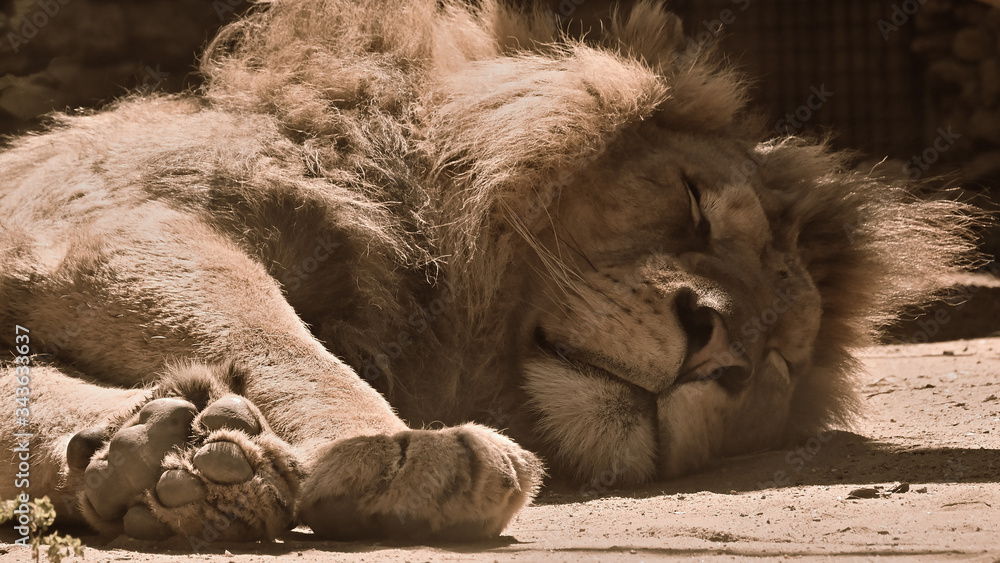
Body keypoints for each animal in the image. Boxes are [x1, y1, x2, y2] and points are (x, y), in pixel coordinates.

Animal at [0, 0, 976, 544]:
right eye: (692, 205)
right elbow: (268, 330)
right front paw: (401, 448)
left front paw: (167, 459)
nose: (716, 352)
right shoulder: (95, 219)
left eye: (778, 357)